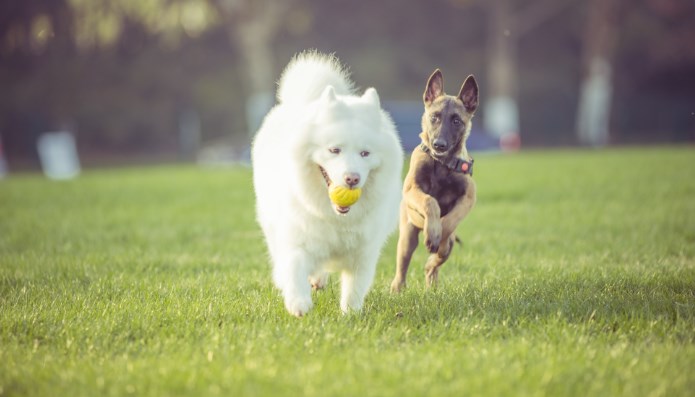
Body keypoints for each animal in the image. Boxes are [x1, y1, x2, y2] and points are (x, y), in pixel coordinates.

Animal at [251, 50, 402, 316]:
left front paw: (350, 315)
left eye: (365, 153)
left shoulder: (363, 253)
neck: (337, 218)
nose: (352, 178)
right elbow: (294, 270)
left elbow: (354, 288)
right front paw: (298, 303)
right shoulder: (297, 239)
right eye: (334, 150)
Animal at [388, 69, 482, 290]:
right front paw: (433, 231)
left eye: (456, 121)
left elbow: (449, 221)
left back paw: (432, 275)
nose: (439, 145)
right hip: (407, 236)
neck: (441, 164)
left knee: (435, 263)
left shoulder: (468, 197)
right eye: (434, 117)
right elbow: (430, 201)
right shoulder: (412, 189)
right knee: (402, 265)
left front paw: (437, 235)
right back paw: (397, 288)